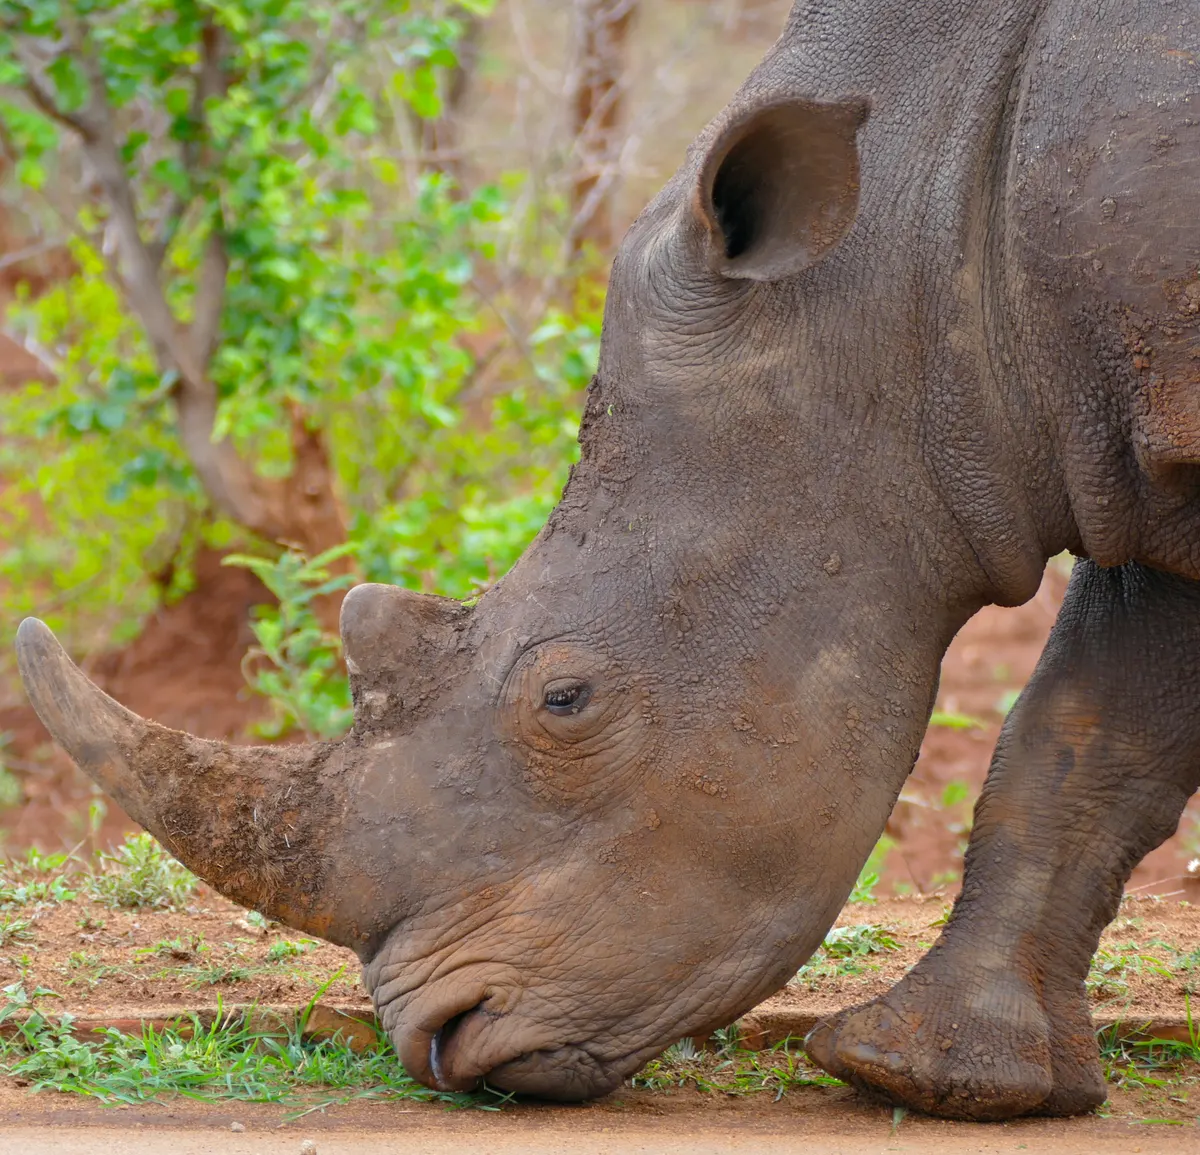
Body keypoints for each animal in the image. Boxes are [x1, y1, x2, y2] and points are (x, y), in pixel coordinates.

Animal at [14, 0, 1200, 1123]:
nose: (437, 1039)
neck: (922, 255)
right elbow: (1088, 733)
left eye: (566, 700)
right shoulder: (1123, 442)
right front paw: (936, 1077)